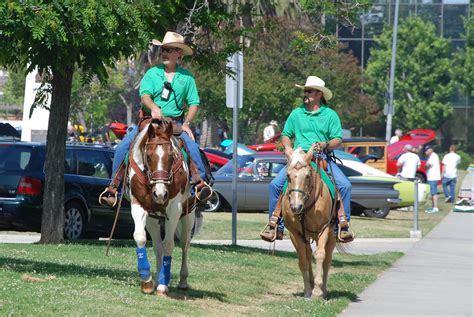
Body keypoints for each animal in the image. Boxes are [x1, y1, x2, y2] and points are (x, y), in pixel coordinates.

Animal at [125, 118, 197, 294]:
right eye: (148, 156)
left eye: (171, 157)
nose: (160, 194)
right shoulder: (139, 205)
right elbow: (140, 237)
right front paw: (147, 281)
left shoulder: (175, 209)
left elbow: (169, 245)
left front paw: (163, 284)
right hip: (153, 218)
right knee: (157, 246)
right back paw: (157, 278)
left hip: (188, 214)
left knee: (184, 243)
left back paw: (182, 281)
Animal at [282, 144, 336, 298]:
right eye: (288, 176)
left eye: (307, 176)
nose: (296, 206)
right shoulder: (295, 233)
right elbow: (303, 260)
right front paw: (307, 290)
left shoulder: (323, 229)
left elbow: (320, 255)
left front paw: (317, 291)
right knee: (307, 253)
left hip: (332, 236)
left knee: (327, 260)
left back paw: (323, 290)